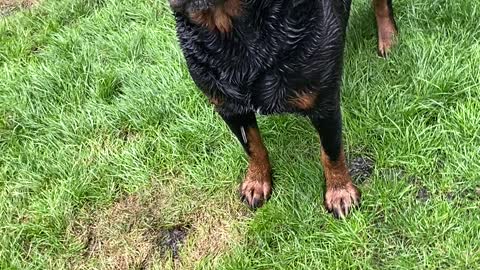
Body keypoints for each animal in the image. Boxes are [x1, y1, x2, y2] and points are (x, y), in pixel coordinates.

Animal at [169, 0, 398, 217]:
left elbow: (331, 152)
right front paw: (257, 181)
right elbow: (253, 147)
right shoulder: (229, 107)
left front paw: (340, 192)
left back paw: (389, 39)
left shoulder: (325, 104)